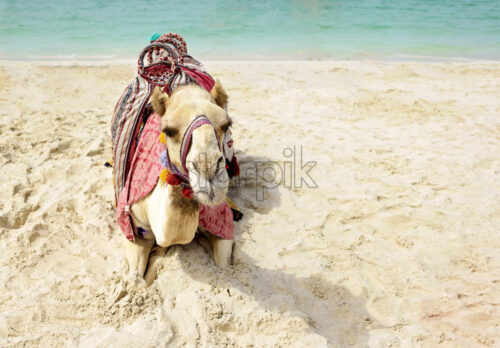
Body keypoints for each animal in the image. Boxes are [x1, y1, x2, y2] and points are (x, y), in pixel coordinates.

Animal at [125, 82, 234, 286]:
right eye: (168, 130)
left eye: (226, 124)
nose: (208, 169)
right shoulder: (135, 227)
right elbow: (136, 280)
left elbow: (223, 264)